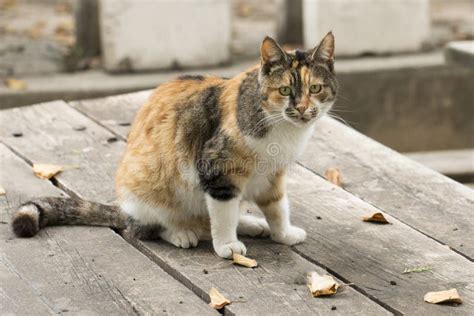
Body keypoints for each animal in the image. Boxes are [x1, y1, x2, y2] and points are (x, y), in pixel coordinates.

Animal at [11, 32, 336, 260]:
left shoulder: (272, 175)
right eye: (285, 90)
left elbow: (277, 206)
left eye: (315, 88)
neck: (280, 127)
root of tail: (124, 209)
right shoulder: (217, 169)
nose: (303, 109)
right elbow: (222, 214)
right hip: (149, 186)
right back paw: (181, 233)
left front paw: (283, 234)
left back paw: (249, 223)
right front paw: (227, 245)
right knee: (145, 228)